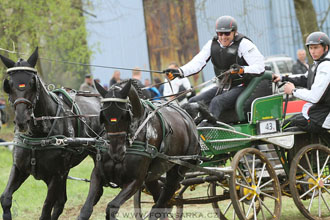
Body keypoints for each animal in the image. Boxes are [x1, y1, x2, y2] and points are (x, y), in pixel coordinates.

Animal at [0, 48, 102, 220]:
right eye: (9, 84)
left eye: (32, 83)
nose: (21, 120)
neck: (38, 136)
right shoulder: (20, 168)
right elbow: (5, 198)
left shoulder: (56, 175)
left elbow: (47, 207)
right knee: (61, 202)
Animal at [78, 80, 200, 220]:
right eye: (102, 116)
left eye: (125, 115)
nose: (116, 152)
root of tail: (188, 119)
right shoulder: (98, 175)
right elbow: (86, 210)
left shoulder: (135, 181)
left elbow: (112, 207)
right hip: (153, 176)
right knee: (160, 199)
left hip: (178, 169)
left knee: (164, 198)